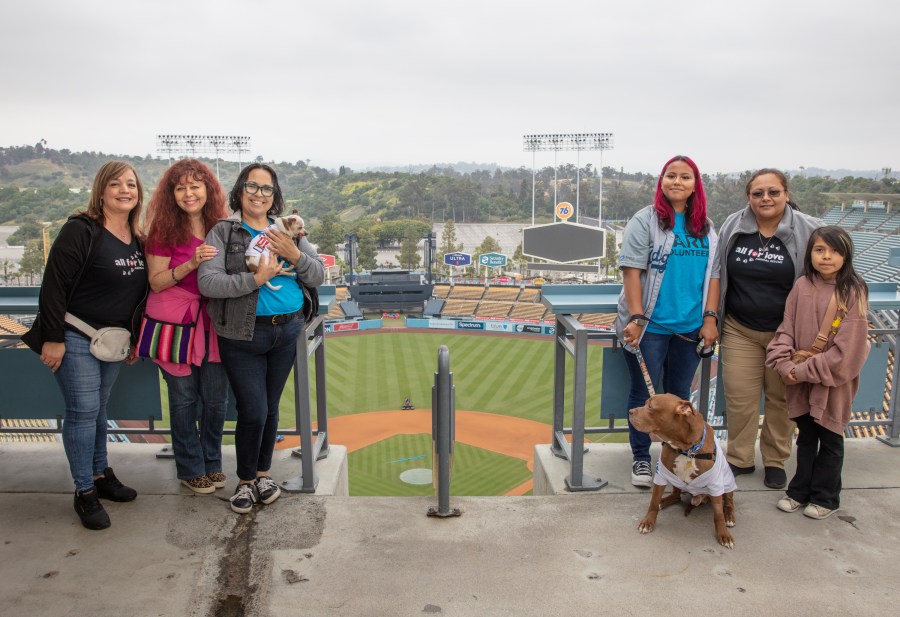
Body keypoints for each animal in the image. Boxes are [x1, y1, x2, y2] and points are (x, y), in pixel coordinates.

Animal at [628, 392, 736, 548]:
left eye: (650, 407)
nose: (630, 411)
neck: (686, 448)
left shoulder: (715, 483)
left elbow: (718, 514)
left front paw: (724, 535)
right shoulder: (661, 475)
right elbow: (653, 502)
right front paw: (648, 522)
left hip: (727, 481)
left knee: (728, 501)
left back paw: (730, 517)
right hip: (675, 480)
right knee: (675, 495)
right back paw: (663, 501)